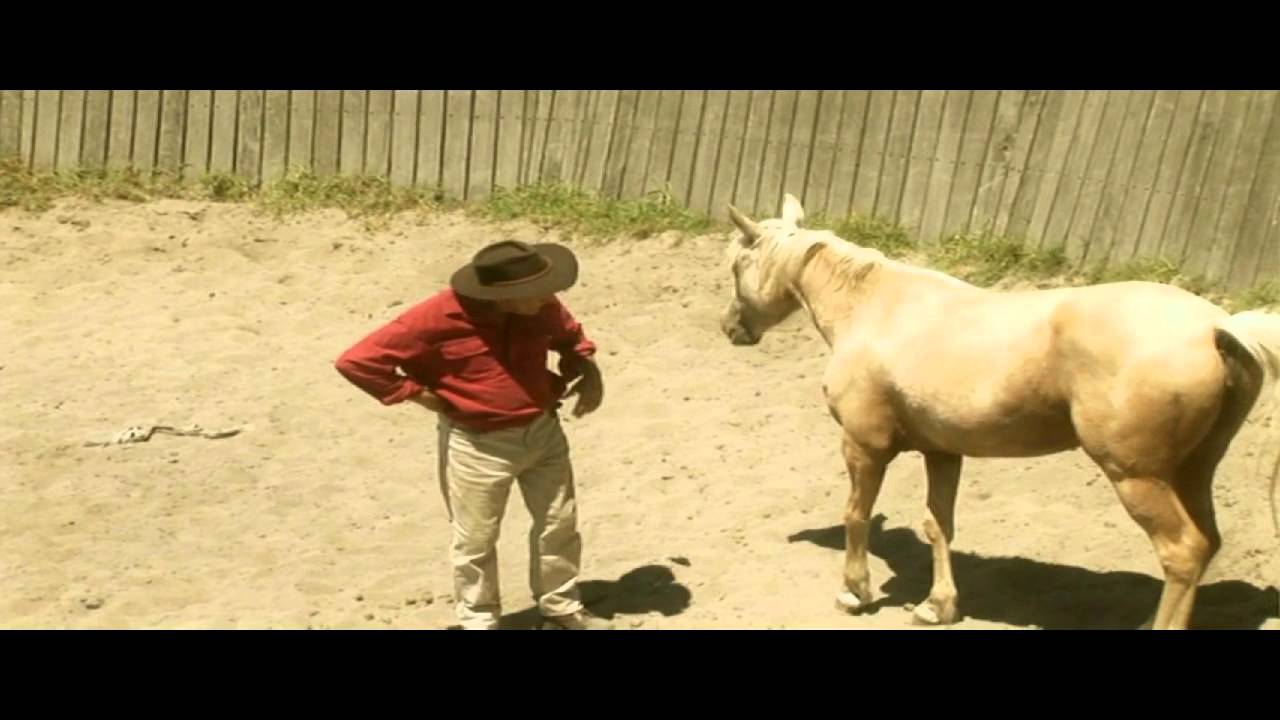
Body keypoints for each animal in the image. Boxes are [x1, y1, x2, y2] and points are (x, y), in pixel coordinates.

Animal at [719, 193, 1280, 629]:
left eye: (737, 265)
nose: (730, 328)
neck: (876, 309)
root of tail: (1216, 327)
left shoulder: (864, 445)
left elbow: (855, 515)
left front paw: (855, 592)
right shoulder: (942, 453)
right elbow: (938, 525)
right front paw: (937, 607)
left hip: (1137, 477)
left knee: (1181, 551)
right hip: (1192, 471)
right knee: (1205, 544)